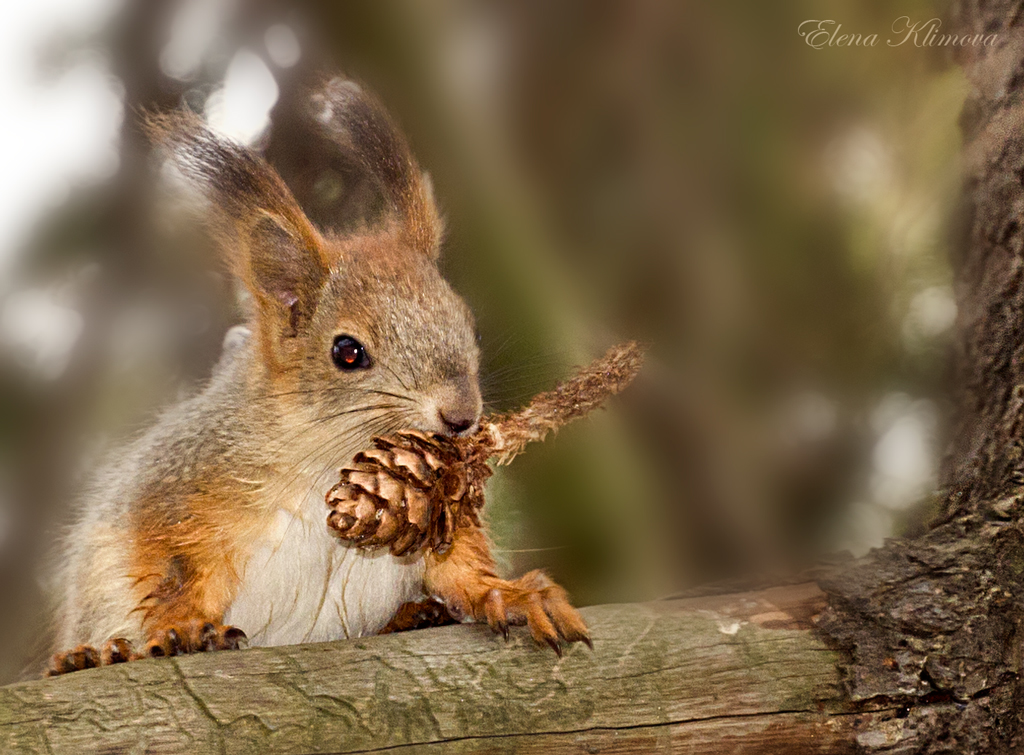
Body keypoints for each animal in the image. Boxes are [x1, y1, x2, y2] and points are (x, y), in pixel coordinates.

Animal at [48, 79, 589, 676]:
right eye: (347, 352)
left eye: (465, 320)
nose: (461, 417)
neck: (329, 459)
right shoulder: (181, 486)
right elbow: (170, 569)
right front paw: (183, 625)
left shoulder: (439, 518)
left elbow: (463, 568)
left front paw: (511, 596)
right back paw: (95, 654)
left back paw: (415, 615)